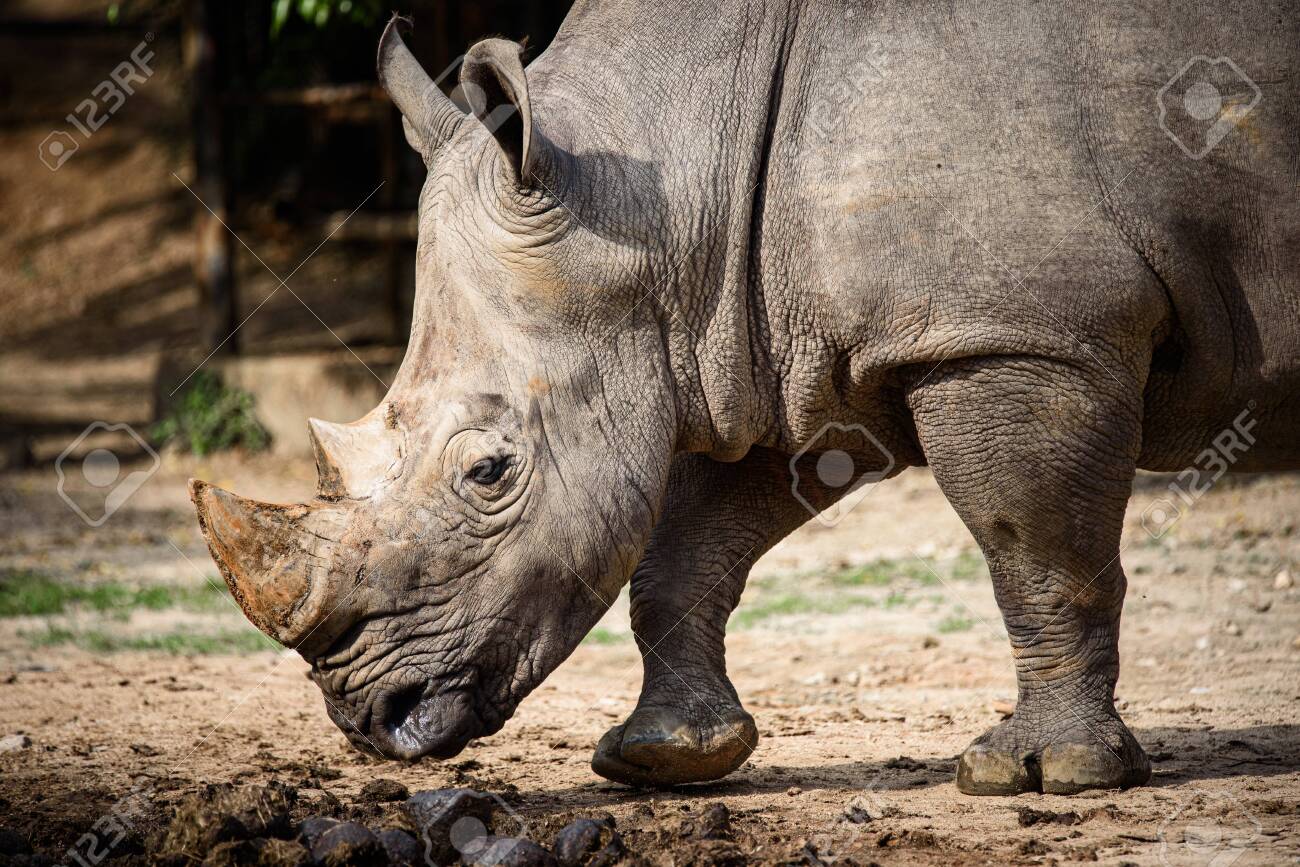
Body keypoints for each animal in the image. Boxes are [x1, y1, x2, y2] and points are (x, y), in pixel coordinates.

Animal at [190, 1, 1299, 796]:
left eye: (490, 471)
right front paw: (665, 760)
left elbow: (1034, 550)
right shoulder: (774, 347)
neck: (667, 184)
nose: (368, 718)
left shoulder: (1017, 333)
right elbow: (686, 545)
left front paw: (1043, 774)